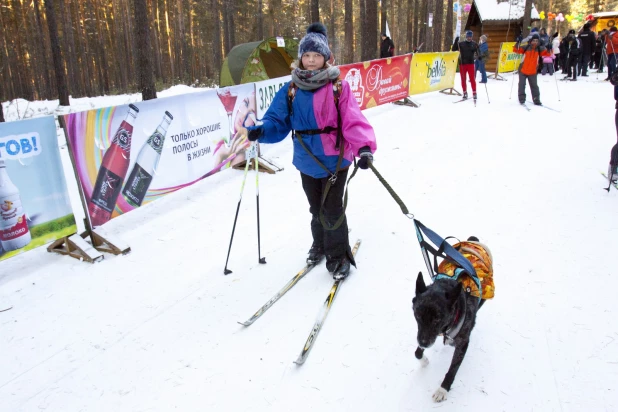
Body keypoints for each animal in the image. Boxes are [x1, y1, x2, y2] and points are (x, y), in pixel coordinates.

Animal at [412, 270, 484, 402]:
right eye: (418, 315)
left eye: (437, 319)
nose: (423, 343)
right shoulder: (424, 335)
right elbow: (417, 353)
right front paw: (424, 361)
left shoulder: (462, 343)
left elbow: (452, 369)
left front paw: (443, 389)